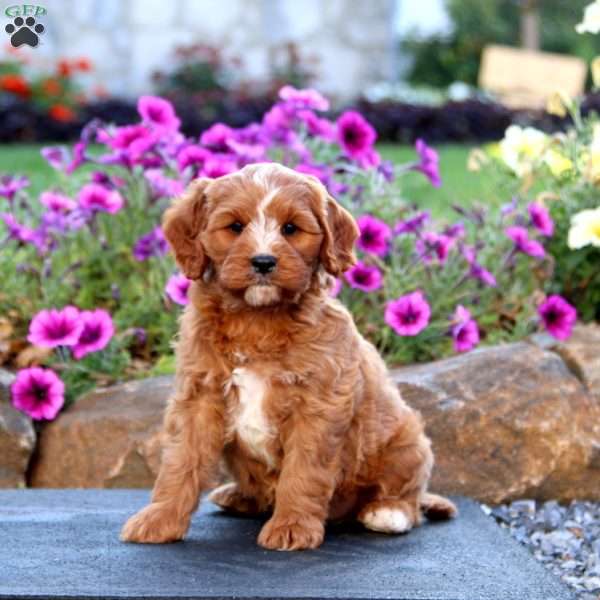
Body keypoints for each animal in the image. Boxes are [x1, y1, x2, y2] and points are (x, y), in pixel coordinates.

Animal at [120, 162, 454, 552]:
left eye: (291, 228)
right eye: (235, 227)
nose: (264, 261)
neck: (256, 320)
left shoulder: (318, 406)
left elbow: (303, 470)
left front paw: (292, 526)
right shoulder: (198, 396)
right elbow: (180, 461)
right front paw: (159, 519)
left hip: (408, 443)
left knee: (409, 495)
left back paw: (387, 512)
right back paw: (236, 495)